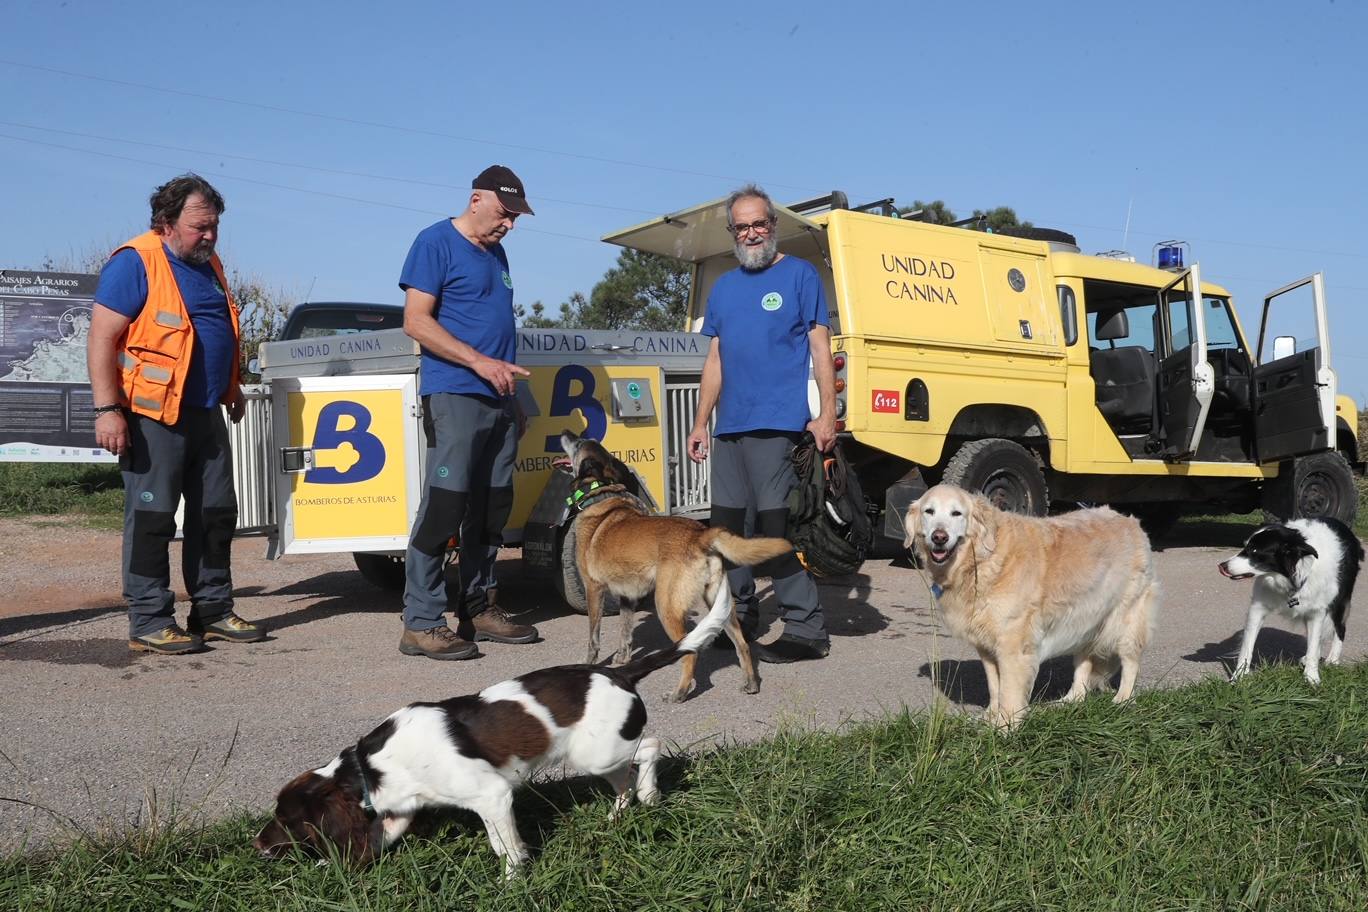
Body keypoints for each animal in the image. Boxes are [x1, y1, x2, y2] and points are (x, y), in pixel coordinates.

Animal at [558, 432, 793, 705]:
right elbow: (625, 632)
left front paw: (588, 664)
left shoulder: (593, 589)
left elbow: (593, 638)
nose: (565, 432)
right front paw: (622, 659)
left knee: (690, 652)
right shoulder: (627, 597)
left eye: (578, 443)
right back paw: (751, 682)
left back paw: (679, 693)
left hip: (666, 606)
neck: (601, 493)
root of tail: (701, 533)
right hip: (719, 604)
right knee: (742, 643)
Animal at [902, 484, 1160, 727]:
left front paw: (1005, 728)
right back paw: (1070, 700)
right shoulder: (986, 646)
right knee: (1084, 663)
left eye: (956, 513)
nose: (939, 537)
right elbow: (995, 687)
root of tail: (1130, 521)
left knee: (1130, 662)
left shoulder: (1012, 645)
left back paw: (1123, 700)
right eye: (929, 511)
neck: (982, 561)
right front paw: (990, 719)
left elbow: (1009, 691)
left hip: (1126, 618)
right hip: (1084, 618)